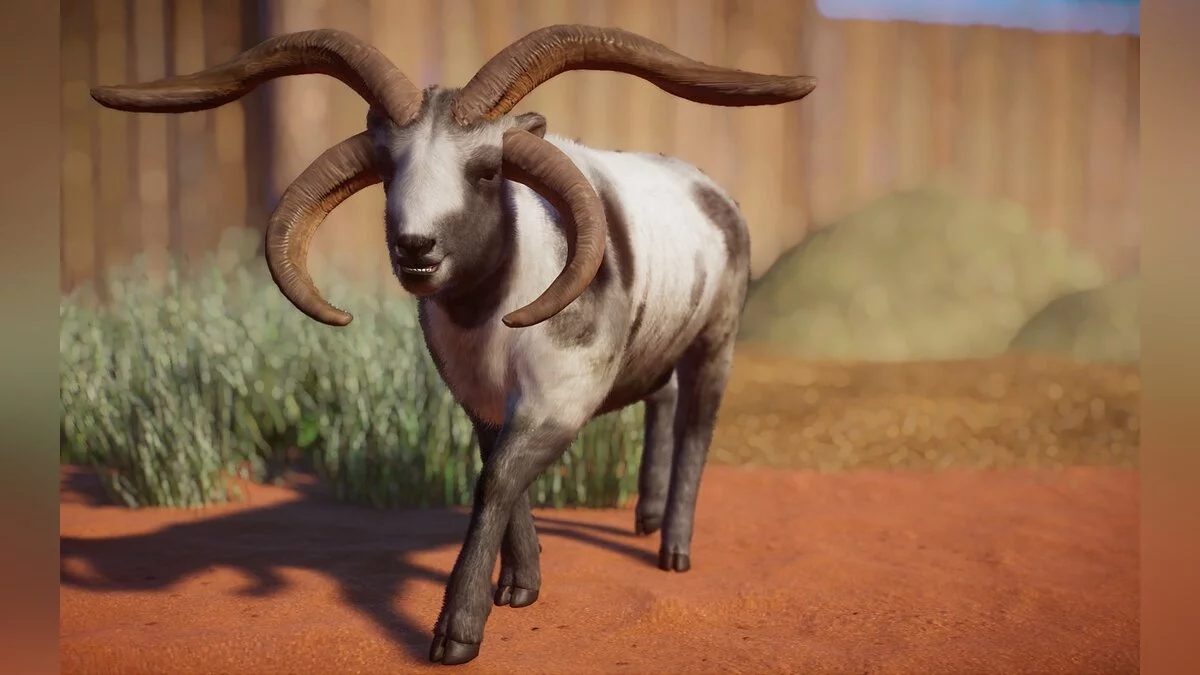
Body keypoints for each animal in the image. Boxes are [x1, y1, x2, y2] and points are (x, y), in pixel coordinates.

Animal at [90, 24, 816, 666]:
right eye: (390, 166)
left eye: (487, 170)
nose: (416, 246)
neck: (493, 313)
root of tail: (712, 189)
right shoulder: (479, 398)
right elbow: (498, 470)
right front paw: (520, 588)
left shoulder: (561, 396)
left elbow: (496, 479)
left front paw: (457, 634)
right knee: (661, 398)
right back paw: (644, 517)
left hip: (716, 341)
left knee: (697, 424)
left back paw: (673, 551)